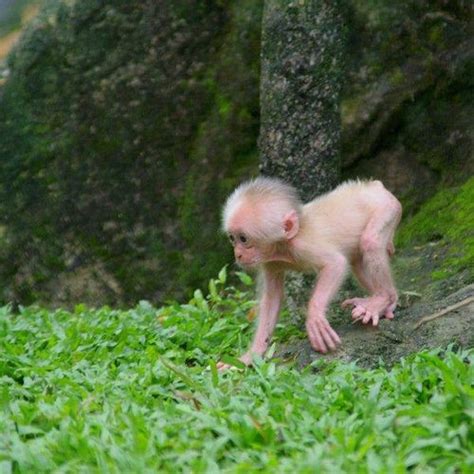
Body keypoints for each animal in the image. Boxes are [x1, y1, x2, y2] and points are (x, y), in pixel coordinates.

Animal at [218, 178, 400, 370]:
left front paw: (314, 318)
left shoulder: (303, 246)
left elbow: (335, 264)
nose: (238, 254)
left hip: (386, 206)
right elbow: (272, 298)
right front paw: (251, 355)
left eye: (244, 239)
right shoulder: (270, 261)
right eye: (232, 238)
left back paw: (381, 299)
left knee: (370, 241)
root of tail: (373, 185)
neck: (284, 246)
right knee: (357, 260)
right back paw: (388, 301)